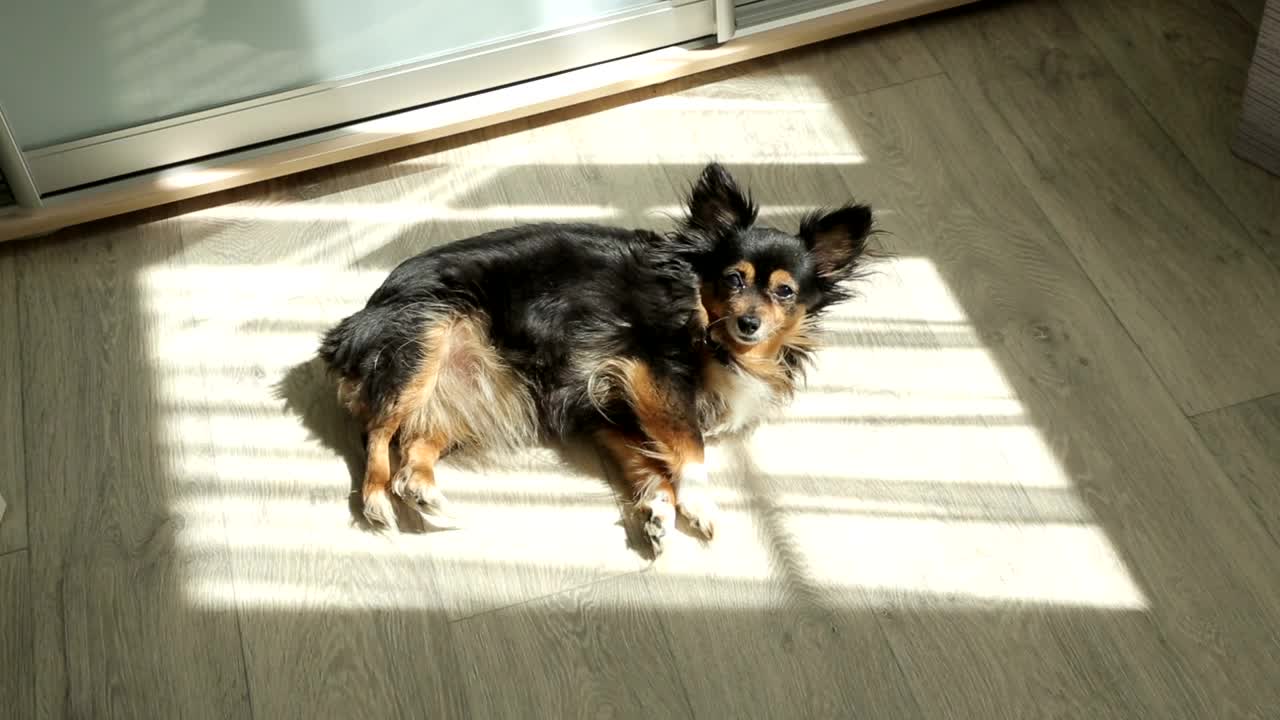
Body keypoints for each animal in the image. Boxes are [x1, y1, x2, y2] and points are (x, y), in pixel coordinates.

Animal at [320, 162, 880, 550]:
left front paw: (657, 509)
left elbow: (647, 460)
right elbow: (691, 445)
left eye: (785, 292)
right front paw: (698, 503)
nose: (749, 323)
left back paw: (424, 494)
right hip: (425, 338)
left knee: (414, 447)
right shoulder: (648, 373)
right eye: (732, 280)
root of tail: (354, 322)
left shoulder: (607, 409)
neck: (706, 325)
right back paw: (376, 500)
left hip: (476, 393)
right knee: (378, 434)